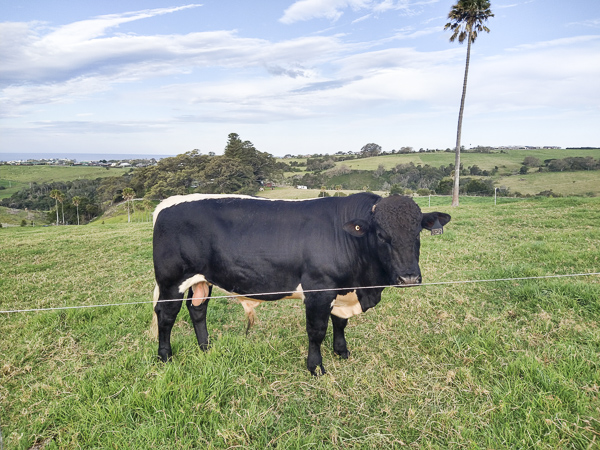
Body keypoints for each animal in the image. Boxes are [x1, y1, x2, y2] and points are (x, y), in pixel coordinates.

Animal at [150, 192, 450, 374]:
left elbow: (340, 323)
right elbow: (316, 331)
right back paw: (165, 356)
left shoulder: (341, 290)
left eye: (417, 232)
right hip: (171, 280)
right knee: (166, 315)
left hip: (202, 279)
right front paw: (316, 367)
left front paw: (342, 351)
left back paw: (205, 348)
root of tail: (166, 204)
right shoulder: (318, 289)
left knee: (198, 309)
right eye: (380, 234)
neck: (363, 285)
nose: (409, 277)